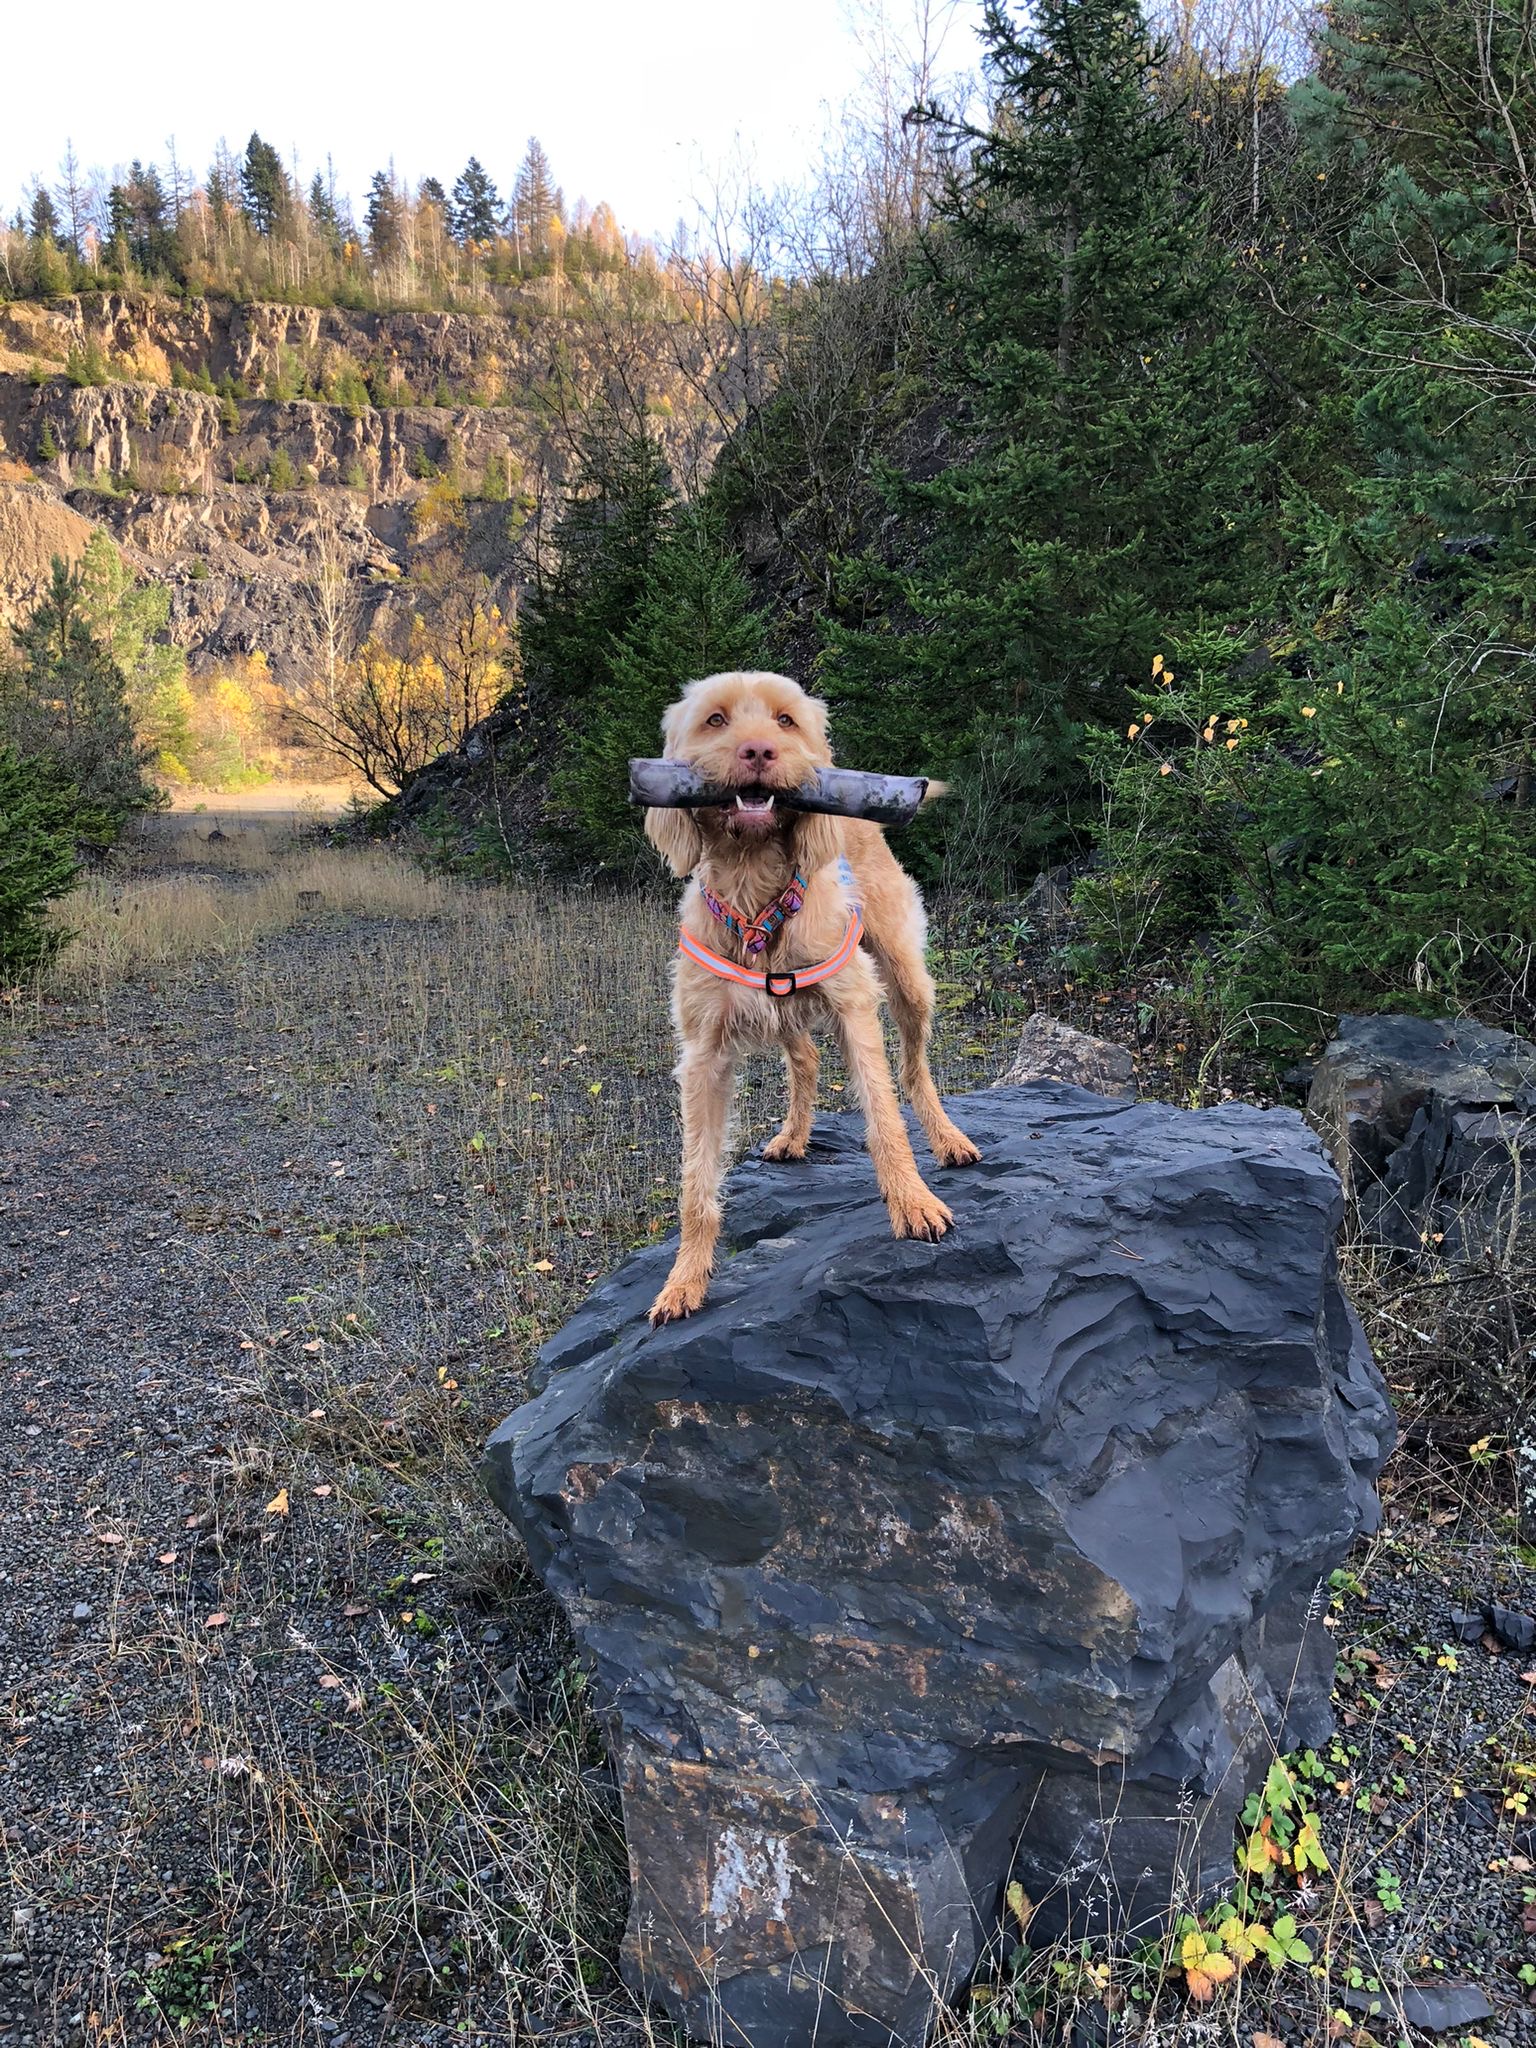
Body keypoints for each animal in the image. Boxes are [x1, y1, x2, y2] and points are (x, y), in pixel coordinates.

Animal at [647, 663, 978, 1318]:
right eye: (715, 719)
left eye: (785, 720)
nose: (758, 751)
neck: (755, 891)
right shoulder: (703, 1055)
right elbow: (697, 1179)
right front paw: (685, 1278)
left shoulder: (854, 1007)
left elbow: (883, 1118)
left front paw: (912, 1203)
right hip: (785, 1013)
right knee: (804, 1058)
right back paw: (795, 1136)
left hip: (908, 980)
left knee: (914, 1070)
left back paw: (947, 1138)